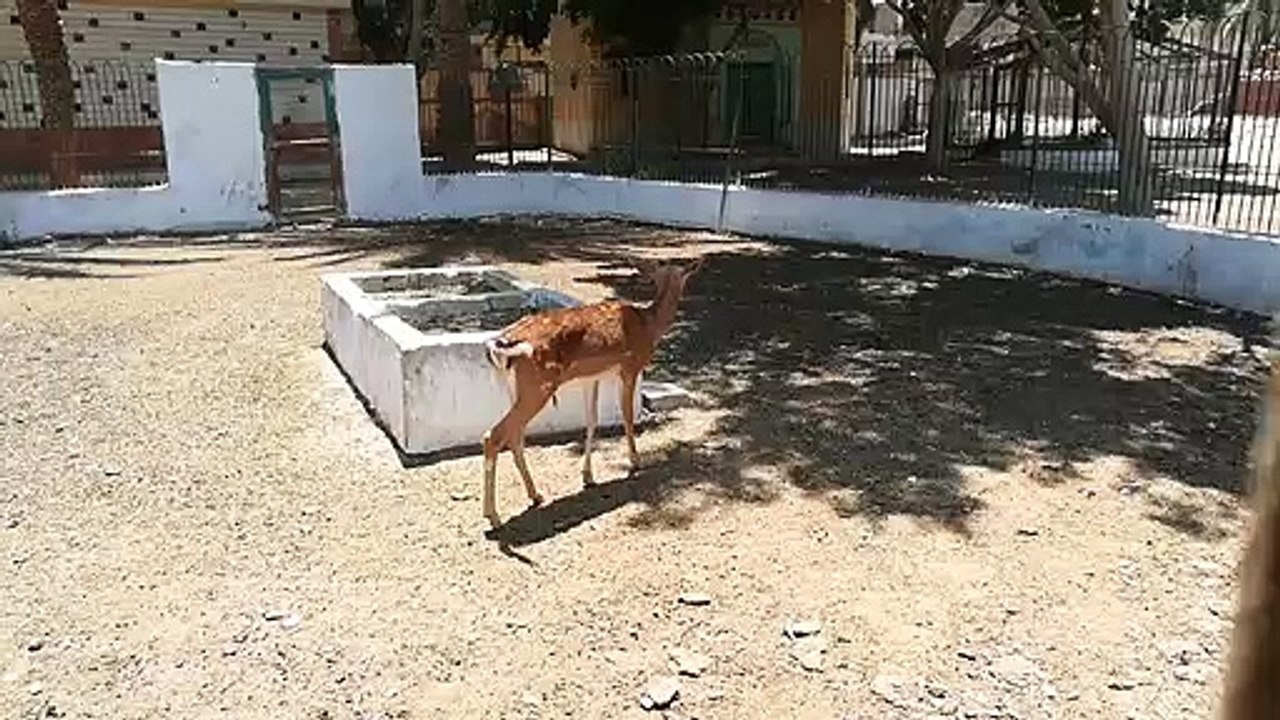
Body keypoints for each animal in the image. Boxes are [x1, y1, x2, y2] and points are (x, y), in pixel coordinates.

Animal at [479, 258, 704, 529]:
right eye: (685, 275)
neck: (648, 325)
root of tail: (501, 346)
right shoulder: (630, 368)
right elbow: (627, 415)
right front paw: (635, 461)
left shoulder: (591, 378)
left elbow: (592, 421)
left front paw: (588, 476)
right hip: (538, 387)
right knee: (494, 435)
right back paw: (493, 515)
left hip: (513, 389)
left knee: (514, 436)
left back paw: (535, 495)